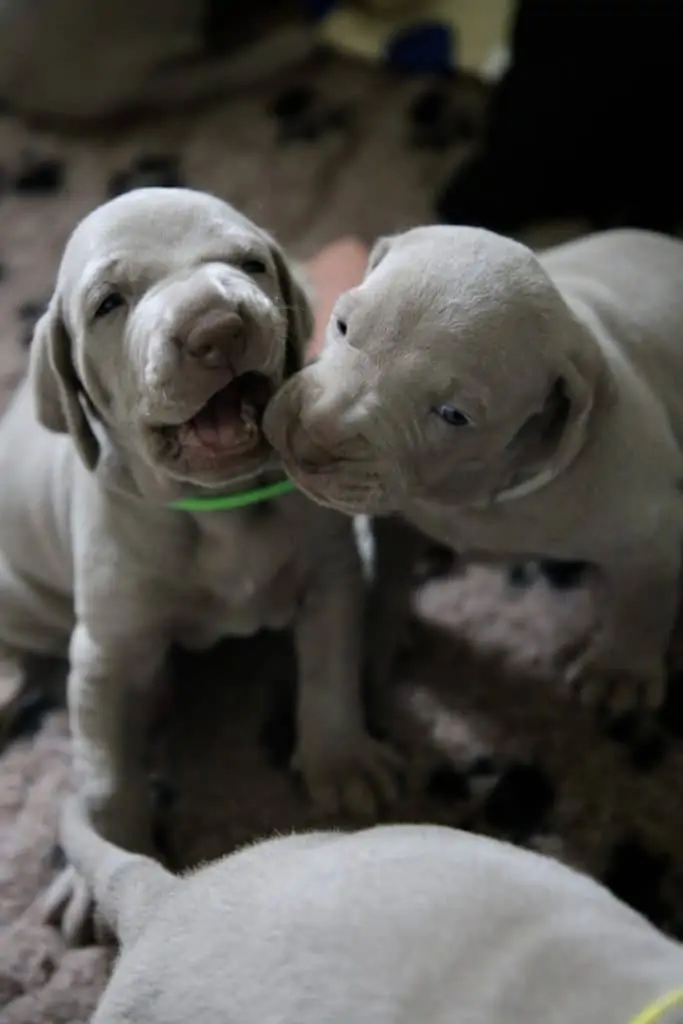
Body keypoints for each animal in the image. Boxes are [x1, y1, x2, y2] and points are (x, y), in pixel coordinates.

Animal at [0, 186, 397, 942]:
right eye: (109, 303)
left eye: (248, 263)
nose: (217, 328)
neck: (218, 509)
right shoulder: (104, 652)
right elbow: (104, 772)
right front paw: (98, 866)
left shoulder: (328, 575)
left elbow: (328, 670)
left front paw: (339, 760)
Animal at [266, 227, 683, 716]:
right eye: (343, 325)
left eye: (453, 415)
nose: (307, 442)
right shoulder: (398, 517)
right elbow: (391, 565)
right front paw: (379, 632)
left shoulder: (652, 519)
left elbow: (647, 594)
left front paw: (621, 671)